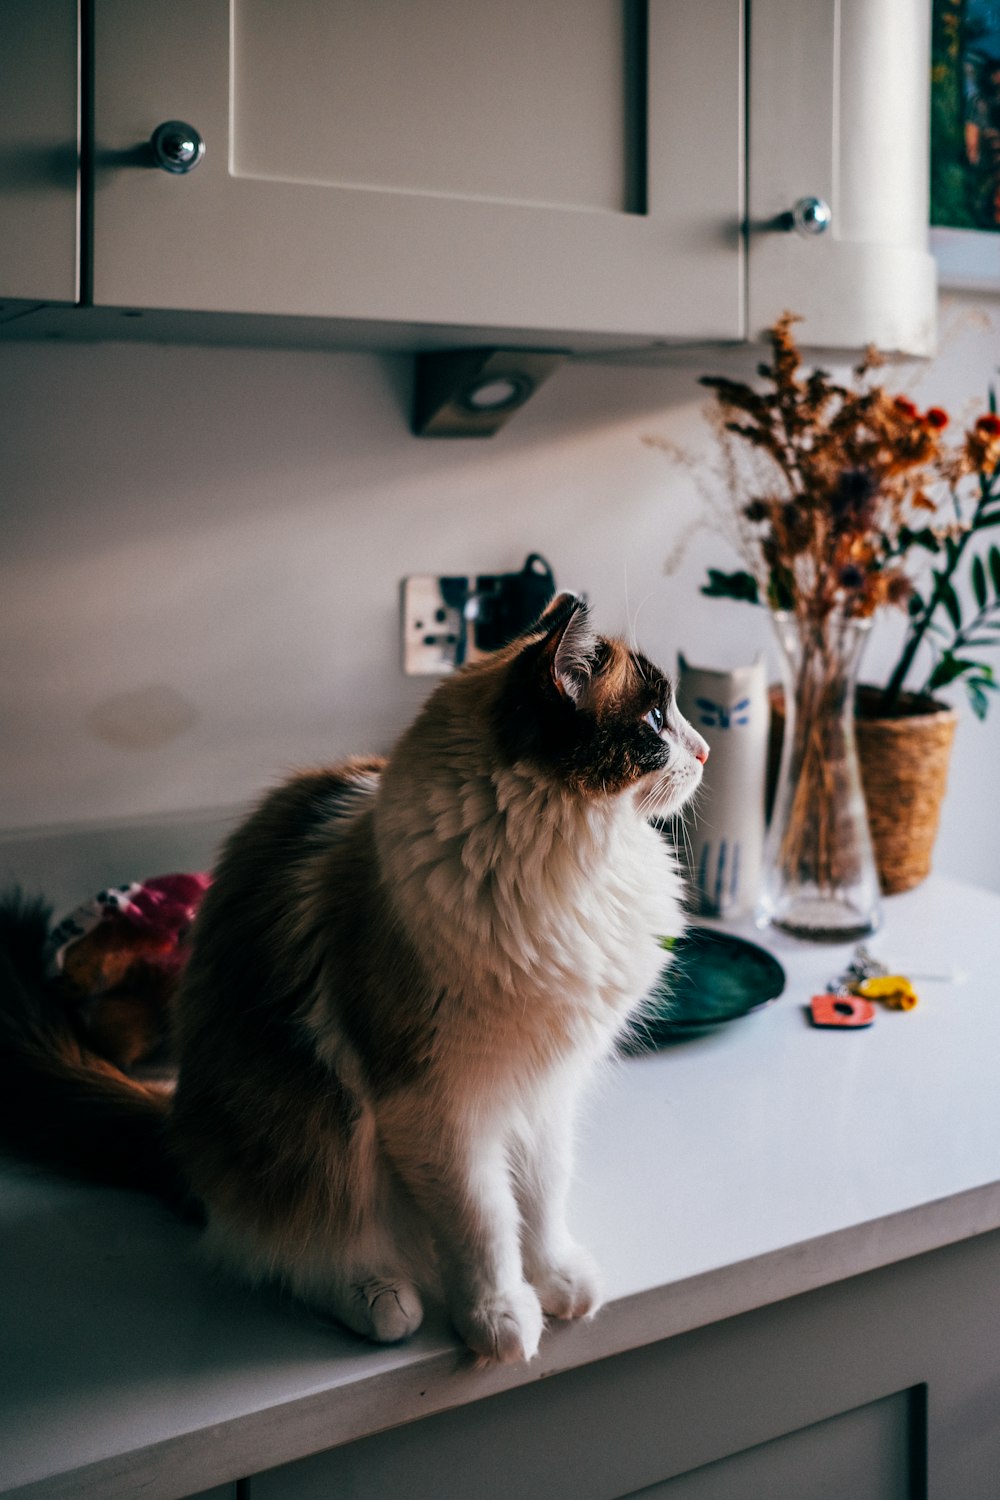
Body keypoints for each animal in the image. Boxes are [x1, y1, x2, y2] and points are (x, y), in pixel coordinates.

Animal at [0, 591, 707, 1368]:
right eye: (655, 720)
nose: (706, 750)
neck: (574, 866)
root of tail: (177, 1124)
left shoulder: (544, 1087)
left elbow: (541, 1202)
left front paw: (559, 1286)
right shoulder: (437, 1107)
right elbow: (486, 1223)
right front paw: (501, 1319)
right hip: (310, 1133)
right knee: (282, 1243)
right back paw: (380, 1298)